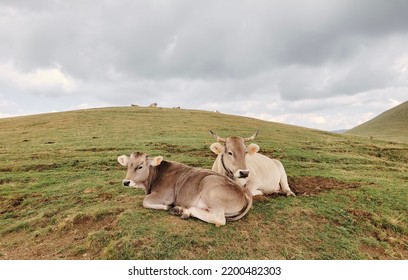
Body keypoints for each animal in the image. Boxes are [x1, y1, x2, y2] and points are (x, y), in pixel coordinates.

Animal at [116, 152, 253, 226]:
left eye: (140, 166)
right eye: (128, 166)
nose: (126, 182)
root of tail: (244, 190)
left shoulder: (165, 195)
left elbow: (145, 201)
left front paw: (167, 207)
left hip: (210, 187)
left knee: (219, 219)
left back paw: (182, 210)